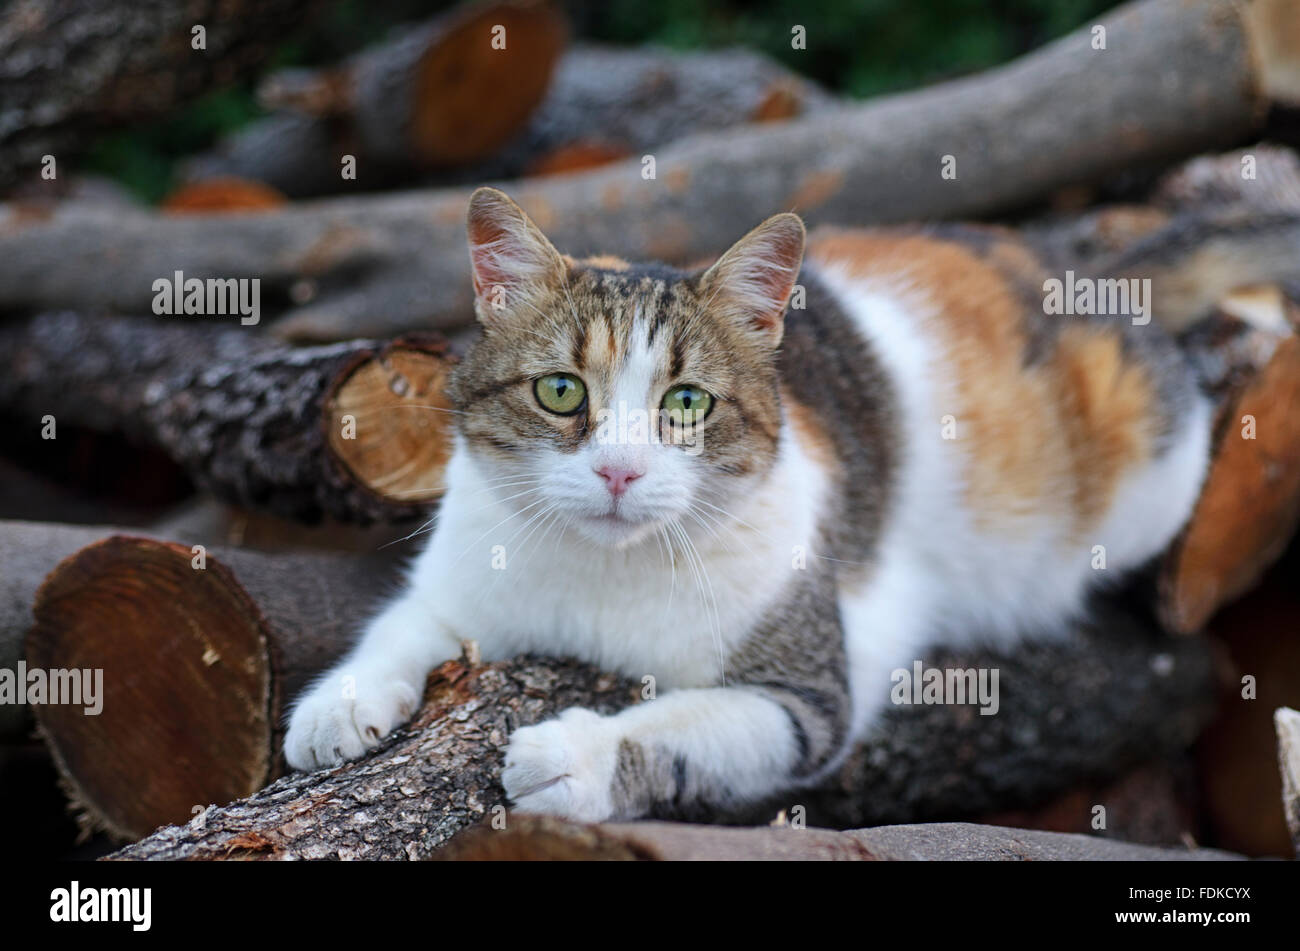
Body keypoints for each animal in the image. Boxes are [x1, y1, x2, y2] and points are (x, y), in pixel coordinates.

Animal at [282, 187, 1206, 826]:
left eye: (687, 402)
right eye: (560, 390)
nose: (618, 470)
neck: (602, 575)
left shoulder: (804, 696)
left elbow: (678, 723)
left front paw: (577, 755)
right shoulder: (463, 581)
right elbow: (404, 623)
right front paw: (341, 701)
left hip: (1150, 475)